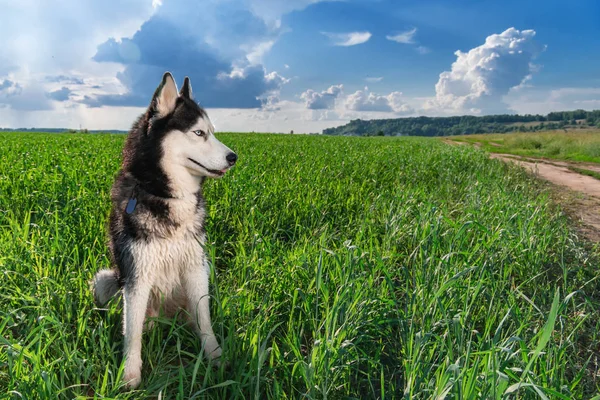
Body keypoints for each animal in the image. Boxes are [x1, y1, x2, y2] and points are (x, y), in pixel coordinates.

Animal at [91, 71, 237, 388]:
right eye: (199, 133)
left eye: (213, 132)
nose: (234, 157)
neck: (169, 198)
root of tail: (164, 320)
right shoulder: (137, 275)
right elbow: (132, 333)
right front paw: (130, 375)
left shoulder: (196, 267)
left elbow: (205, 320)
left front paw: (215, 357)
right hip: (106, 279)